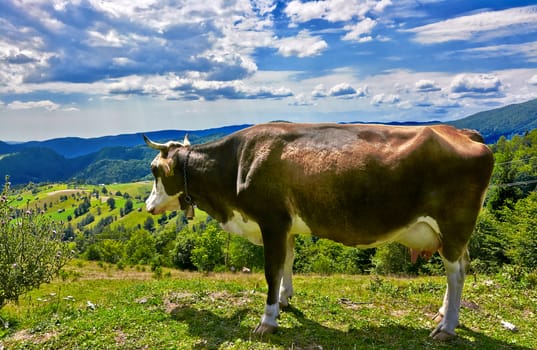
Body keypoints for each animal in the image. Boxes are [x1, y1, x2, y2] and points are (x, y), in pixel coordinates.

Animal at [143, 122, 494, 340]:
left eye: (155, 170)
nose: (147, 207)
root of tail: (462, 132)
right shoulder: (287, 226)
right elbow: (287, 262)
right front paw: (284, 300)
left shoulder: (272, 220)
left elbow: (271, 270)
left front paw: (267, 320)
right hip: (452, 233)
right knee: (459, 267)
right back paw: (443, 313)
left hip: (454, 224)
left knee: (456, 272)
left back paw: (447, 327)